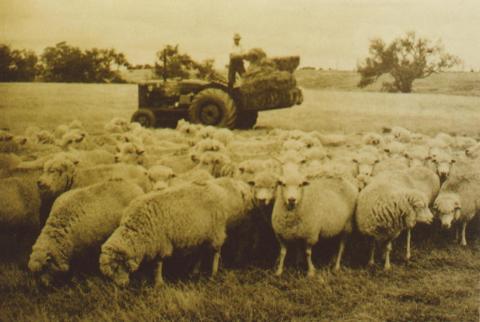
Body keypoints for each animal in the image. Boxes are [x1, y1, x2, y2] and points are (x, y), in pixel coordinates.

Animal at [97, 176, 255, 286]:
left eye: (117, 266)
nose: (122, 286)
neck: (136, 229)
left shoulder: (161, 243)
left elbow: (158, 264)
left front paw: (158, 282)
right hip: (203, 233)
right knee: (202, 251)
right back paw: (194, 271)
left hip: (216, 231)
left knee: (216, 252)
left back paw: (213, 273)